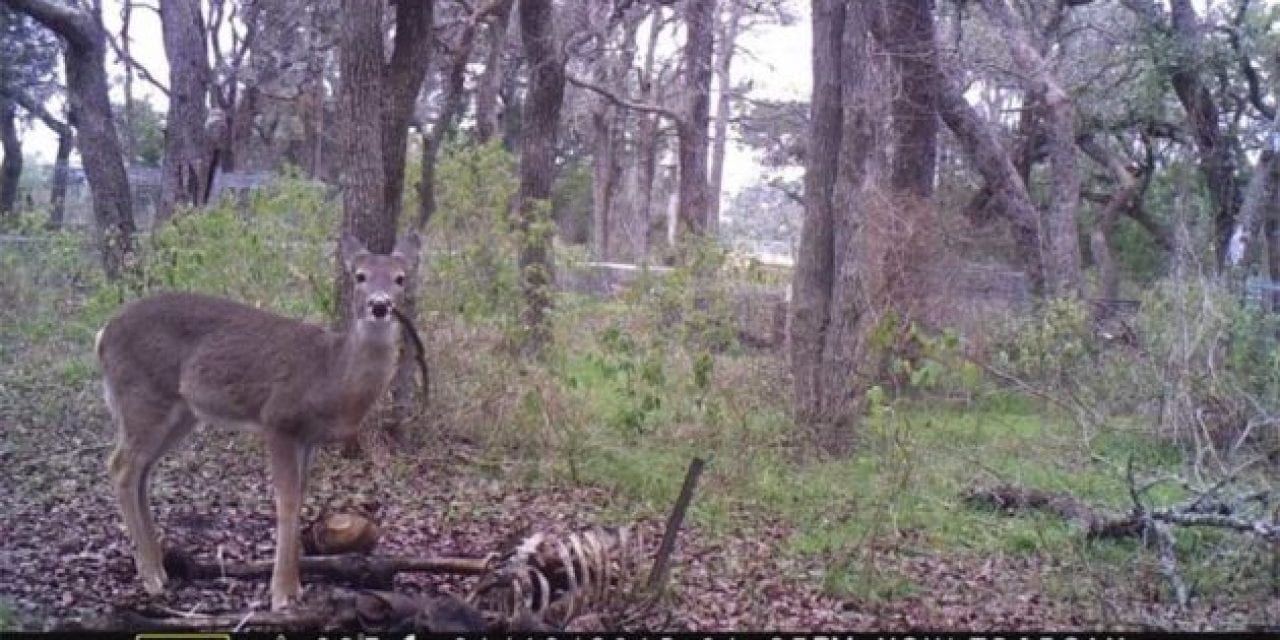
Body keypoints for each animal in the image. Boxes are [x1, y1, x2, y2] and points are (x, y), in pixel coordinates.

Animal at [97, 230, 424, 609]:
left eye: (400, 278)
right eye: (360, 276)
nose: (380, 305)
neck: (330, 376)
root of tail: (103, 334)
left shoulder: (308, 438)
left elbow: (302, 495)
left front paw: (296, 587)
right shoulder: (278, 419)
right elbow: (287, 500)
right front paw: (281, 593)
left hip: (181, 412)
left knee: (142, 471)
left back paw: (160, 568)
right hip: (143, 396)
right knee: (120, 466)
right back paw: (150, 576)